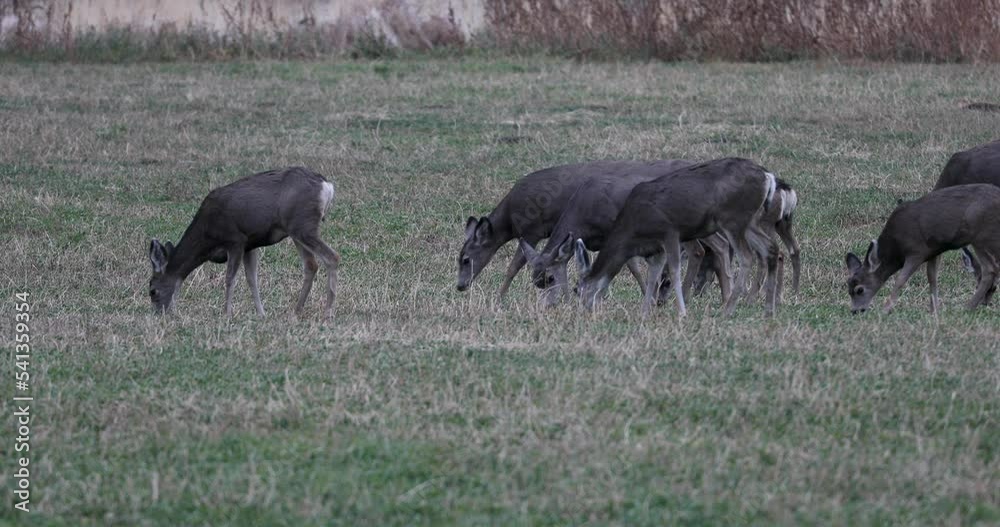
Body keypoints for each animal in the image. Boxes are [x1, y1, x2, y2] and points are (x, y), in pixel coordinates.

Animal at [147, 167, 340, 318]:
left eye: (152, 291)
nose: (160, 314)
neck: (207, 236)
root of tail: (327, 186)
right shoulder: (250, 245)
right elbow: (251, 279)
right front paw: (261, 314)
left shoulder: (236, 240)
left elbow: (230, 278)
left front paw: (226, 314)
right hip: (296, 231)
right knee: (311, 265)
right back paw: (296, 311)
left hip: (303, 225)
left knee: (332, 257)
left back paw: (327, 312)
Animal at [457, 160, 695, 300]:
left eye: (466, 259)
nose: (460, 286)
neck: (509, 220)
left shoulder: (531, 230)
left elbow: (514, 266)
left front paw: (499, 298)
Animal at [575, 157, 781, 318]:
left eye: (581, 290)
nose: (586, 312)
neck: (634, 227)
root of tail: (767, 177)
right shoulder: (656, 248)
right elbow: (654, 275)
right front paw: (645, 311)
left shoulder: (670, 232)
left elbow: (674, 271)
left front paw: (681, 312)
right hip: (750, 222)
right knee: (770, 248)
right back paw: (768, 309)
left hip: (733, 220)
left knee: (746, 256)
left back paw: (729, 308)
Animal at [844, 184, 1000, 314]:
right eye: (848, 289)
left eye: (859, 290)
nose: (855, 311)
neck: (896, 246)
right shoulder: (933, 251)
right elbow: (932, 279)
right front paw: (934, 311)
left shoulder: (916, 251)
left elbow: (900, 280)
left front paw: (885, 309)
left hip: (982, 236)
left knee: (990, 269)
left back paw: (967, 307)